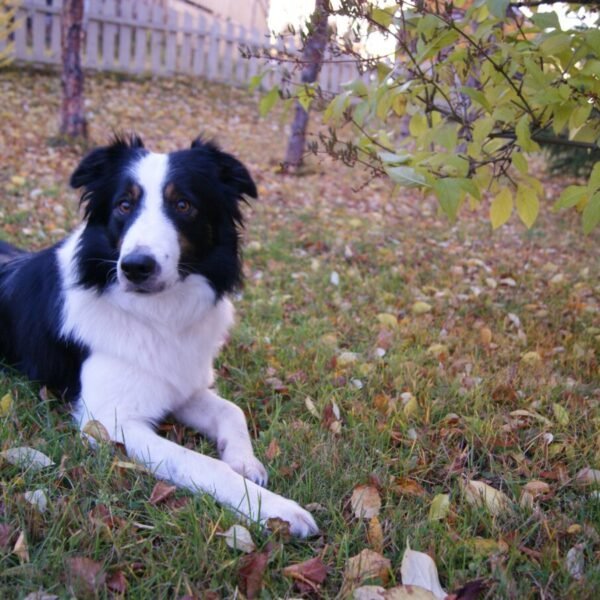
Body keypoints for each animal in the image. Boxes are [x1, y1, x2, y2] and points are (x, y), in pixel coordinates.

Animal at [0, 136, 318, 540]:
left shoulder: (181, 384)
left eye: (183, 204)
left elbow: (232, 410)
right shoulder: (108, 420)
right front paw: (273, 508)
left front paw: (246, 463)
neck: (156, 317)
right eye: (124, 204)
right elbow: (201, 463)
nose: (136, 267)